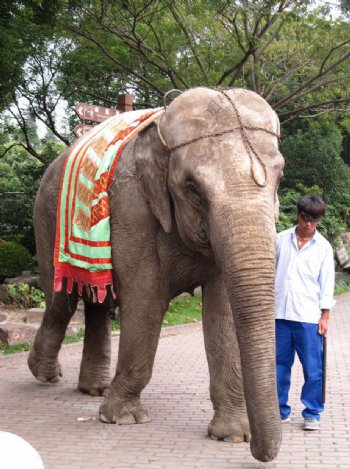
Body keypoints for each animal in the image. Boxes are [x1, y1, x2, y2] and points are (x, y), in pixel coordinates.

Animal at [28, 87, 284, 460]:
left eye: (280, 178)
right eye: (192, 188)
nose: (261, 455)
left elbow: (222, 313)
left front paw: (232, 437)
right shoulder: (131, 208)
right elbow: (146, 301)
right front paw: (123, 419)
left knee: (94, 301)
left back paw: (94, 388)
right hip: (47, 219)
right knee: (62, 300)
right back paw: (46, 375)